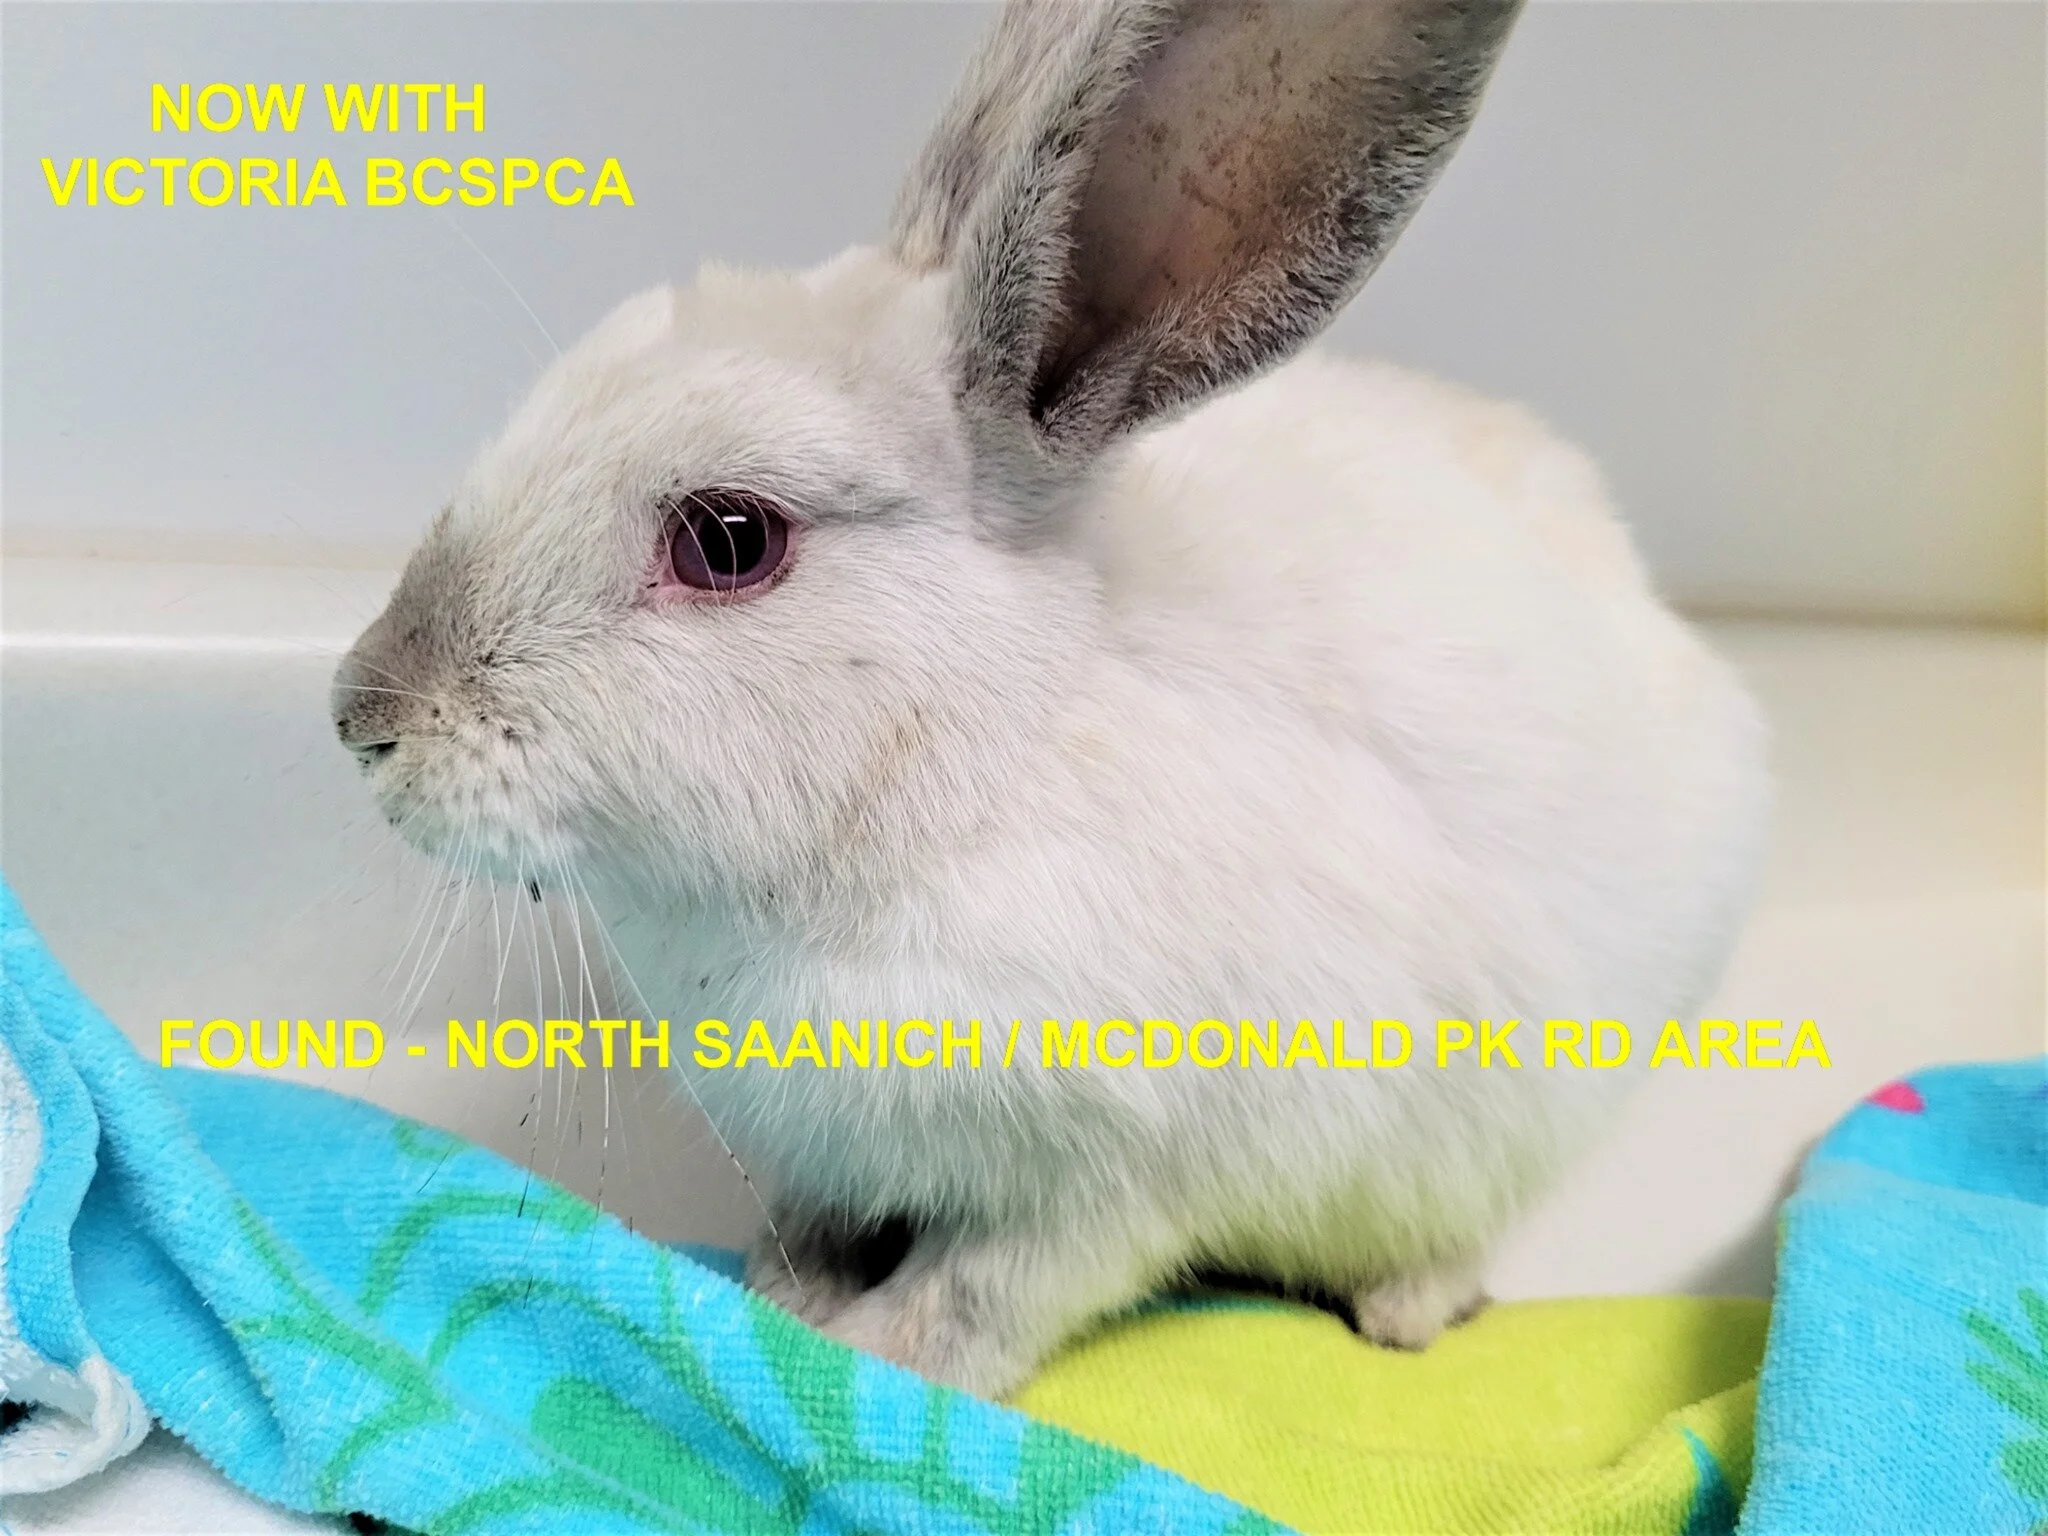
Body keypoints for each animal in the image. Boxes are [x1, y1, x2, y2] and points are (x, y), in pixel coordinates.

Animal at [334, 0, 1770, 1398]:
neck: (950, 774)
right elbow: (813, 1231)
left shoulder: (1109, 1185)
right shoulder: (820, 1161)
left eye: (727, 540)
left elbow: (981, 1295)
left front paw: (870, 1358)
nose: (362, 715)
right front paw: (785, 1299)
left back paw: (1403, 1314)